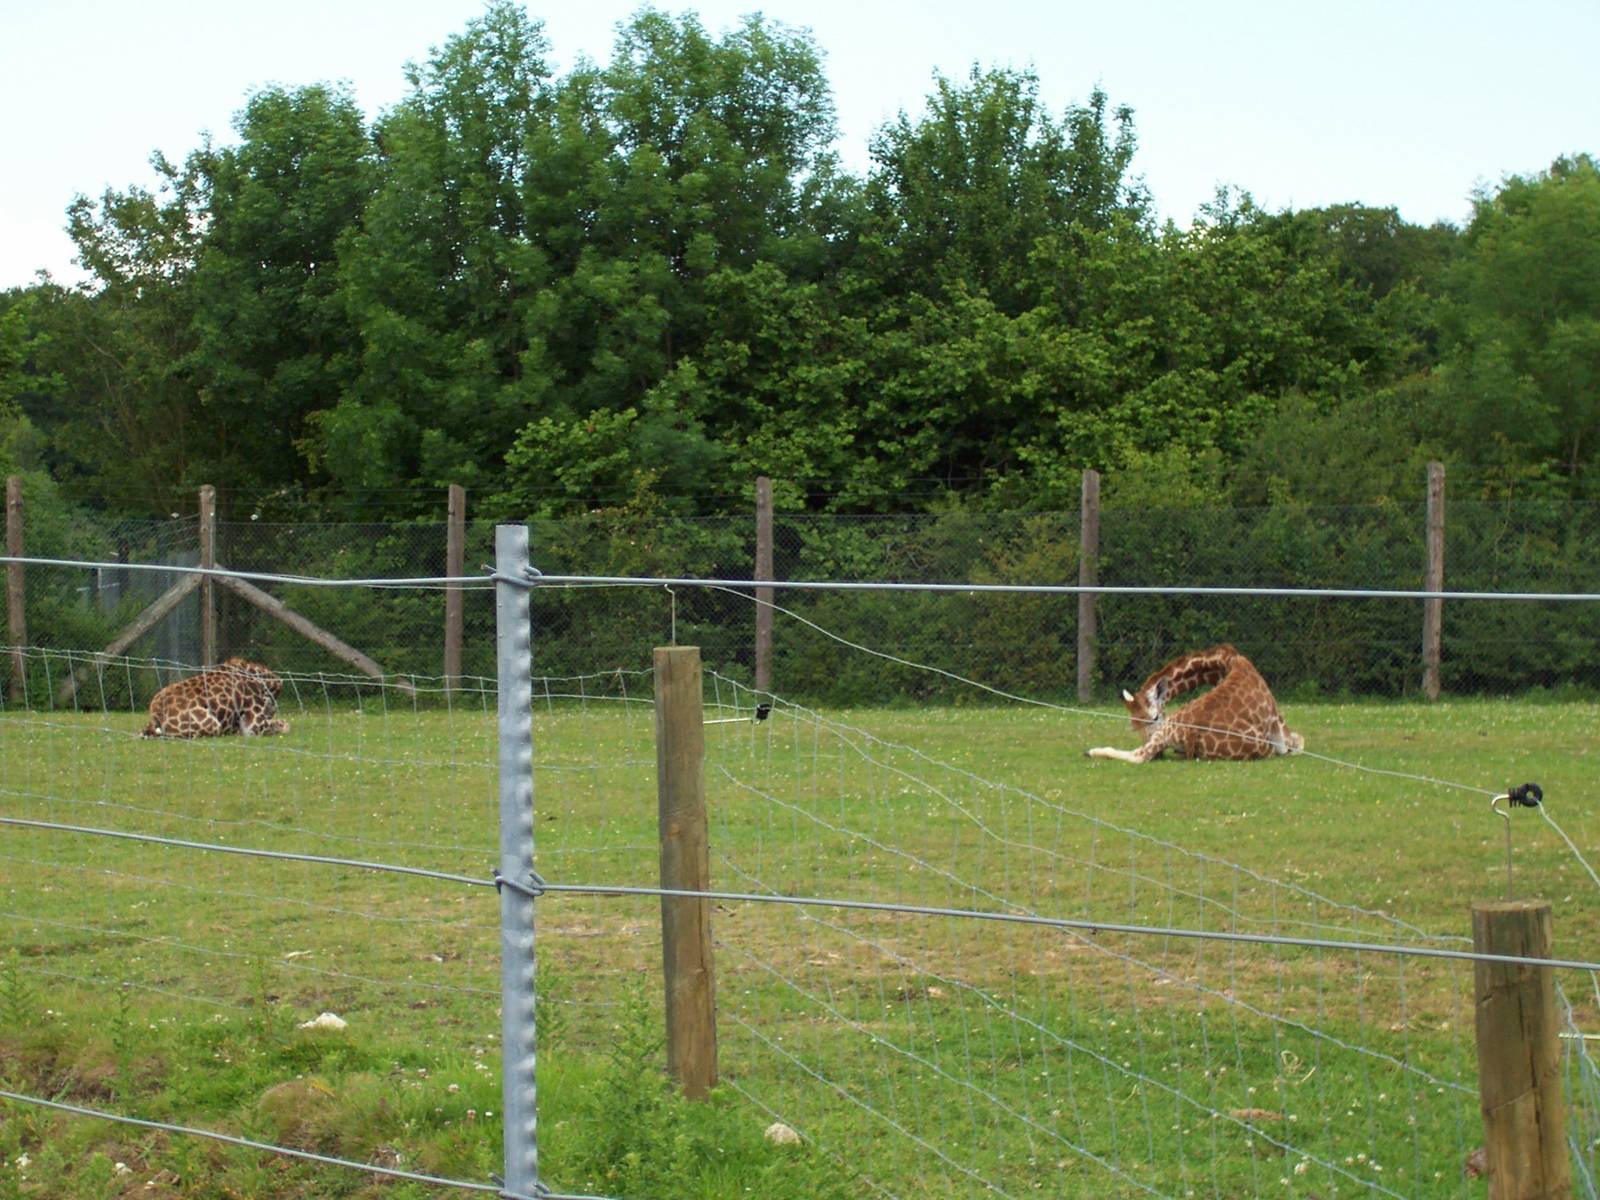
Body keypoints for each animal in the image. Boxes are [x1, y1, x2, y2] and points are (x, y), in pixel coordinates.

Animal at [1085, 644, 1304, 763]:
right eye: (1134, 726)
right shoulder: (1279, 726)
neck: (1224, 662)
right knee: (1140, 755)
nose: (1159, 756)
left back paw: (1091, 751)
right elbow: (1298, 743)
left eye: (1154, 717)